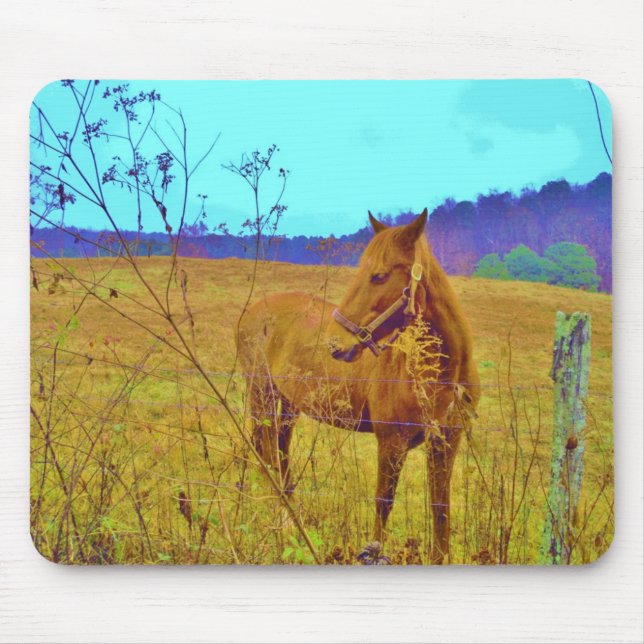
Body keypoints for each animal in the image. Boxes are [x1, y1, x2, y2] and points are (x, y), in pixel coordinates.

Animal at [236, 210, 479, 563]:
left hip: (287, 404)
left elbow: (440, 508)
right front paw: (373, 552)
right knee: (265, 451)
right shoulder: (391, 441)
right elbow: (383, 503)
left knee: (280, 454)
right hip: (261, 395)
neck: (439, 373)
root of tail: (253, 311)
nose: (336, 345)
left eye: (378, 276)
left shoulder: (447, 441)